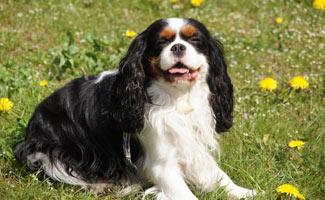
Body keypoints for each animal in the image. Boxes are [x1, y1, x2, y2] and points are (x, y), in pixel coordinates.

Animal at [15, 18, 256, 199]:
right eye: (161, 42)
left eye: (195, 40)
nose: (178, 47)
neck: (177, 98)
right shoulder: (162, 164)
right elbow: (186, 194)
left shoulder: (193, 146)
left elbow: (218, 174)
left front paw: (244, 191)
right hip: (52, 151)